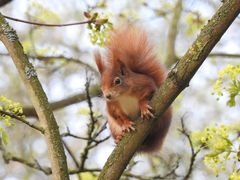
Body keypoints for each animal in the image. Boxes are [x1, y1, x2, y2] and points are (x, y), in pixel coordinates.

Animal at [94, 24, 172, 153]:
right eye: (101, 86)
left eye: (117, 81)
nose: (107, 96)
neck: (123, 95)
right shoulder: (112, 105)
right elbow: (117, 116)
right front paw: (126, 124)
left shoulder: (145, 84)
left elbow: (148, 93)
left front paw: (144, 106)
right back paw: (119, 138)